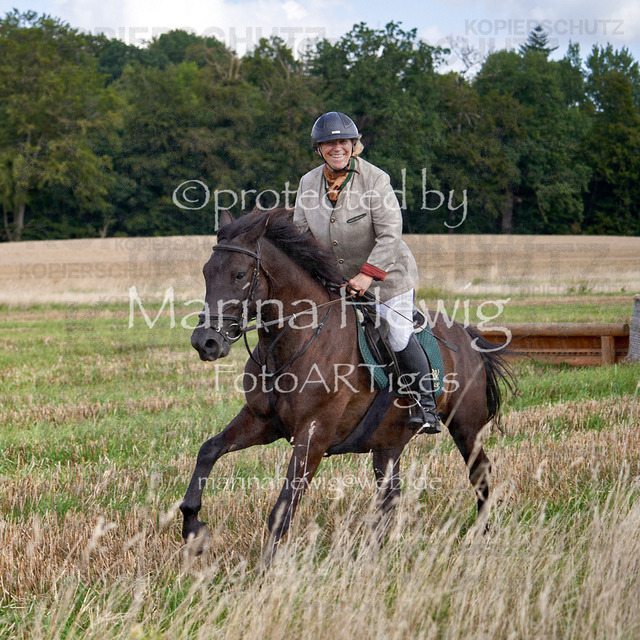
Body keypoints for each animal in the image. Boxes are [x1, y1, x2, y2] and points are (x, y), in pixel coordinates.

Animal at [180, 208, 515, 565]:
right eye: (206, 272)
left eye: (240, 274)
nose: (205, 342)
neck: (293, 342)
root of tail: (465, 334)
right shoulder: (261, 421)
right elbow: (209, 450)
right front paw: (193, 529)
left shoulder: (313, 435)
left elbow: (282, 509)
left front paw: (266, 570)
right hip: (389, 441)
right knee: (390, 495)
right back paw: (371, 553)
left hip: (466, 426)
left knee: (480, 473)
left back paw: (479, 537)